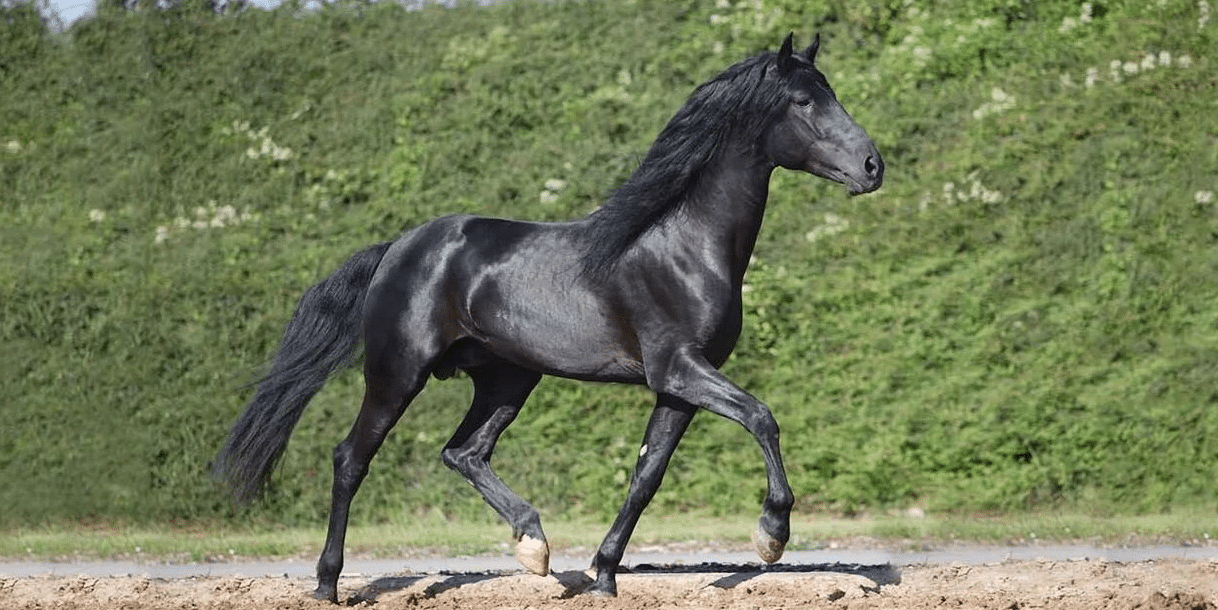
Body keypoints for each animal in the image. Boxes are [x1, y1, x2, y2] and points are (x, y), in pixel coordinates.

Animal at [213, 33, 883, 603]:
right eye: (804, 101)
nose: (874, 166)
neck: (684, 245)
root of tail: (397, 248)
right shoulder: (680, 370)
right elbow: (762, 417)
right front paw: (771, 536)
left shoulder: (678, 387)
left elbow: (646, 475)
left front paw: (603, 577)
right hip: (397, 374)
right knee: (351, 459)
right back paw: (327, 585)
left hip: (507, 379)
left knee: (463, 453)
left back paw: (534, 548)